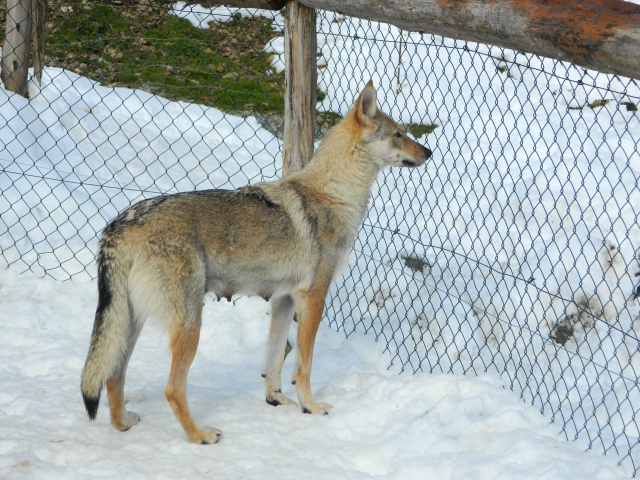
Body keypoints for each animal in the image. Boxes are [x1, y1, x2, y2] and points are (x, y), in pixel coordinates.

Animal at [79, 80, 430, 444]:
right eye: (399, 134)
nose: (429, 152)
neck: (335, 195)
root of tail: (122, 223)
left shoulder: (283, 300)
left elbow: (273, 361)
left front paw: (276, 400)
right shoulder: (313, 298)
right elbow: (303, 366)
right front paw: (311, 407)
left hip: (130, 322)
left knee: (112, 376)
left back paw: (123, 423)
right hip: (188, 325)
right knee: (171, 389)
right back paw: (200, 435)